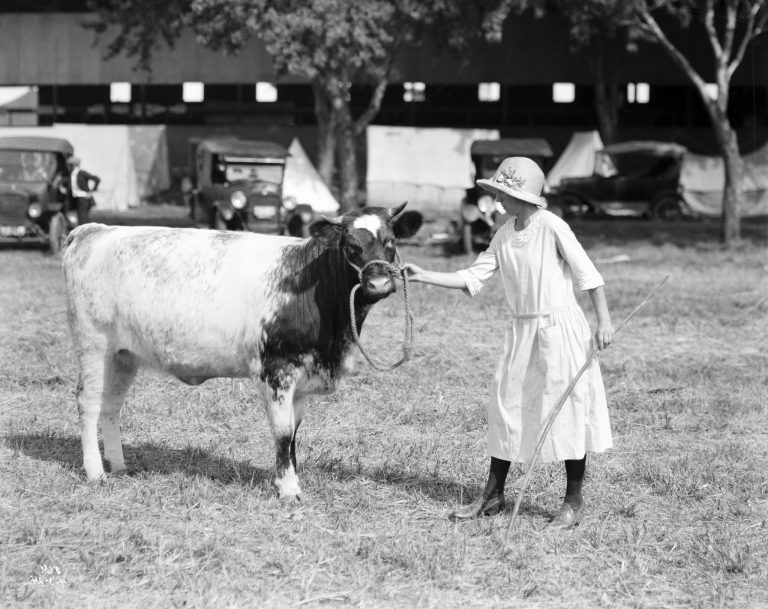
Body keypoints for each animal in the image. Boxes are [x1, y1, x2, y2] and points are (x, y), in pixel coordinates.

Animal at [61, 203, 420, 498]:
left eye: (391, 242)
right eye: (351, 246)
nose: (378, 284)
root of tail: (94, 230)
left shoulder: (302, 378)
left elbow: (294, 433)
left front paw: (288, 477)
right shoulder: (276, 371)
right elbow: (282, 432)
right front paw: (288, 489)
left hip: (123, 355)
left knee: (111, 406)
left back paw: (119, 465)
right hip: (93, 345)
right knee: (88, 403)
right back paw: (95, 472)